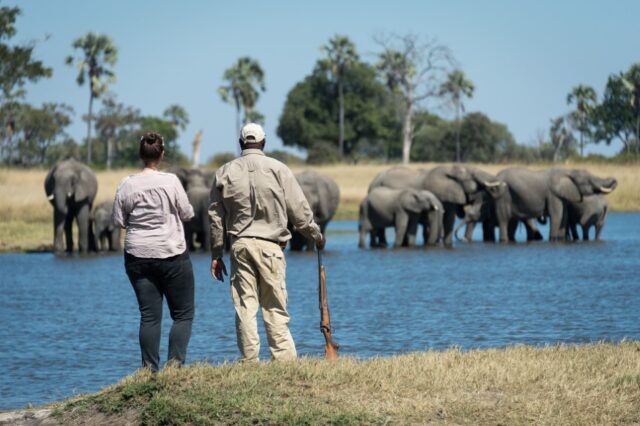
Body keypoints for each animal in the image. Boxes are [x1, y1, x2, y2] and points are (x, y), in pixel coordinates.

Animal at [370, 166, 504, 246]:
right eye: (472, 176)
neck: (452, 171)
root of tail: (375, 179)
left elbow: (449, 219)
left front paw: (447, 244)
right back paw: (383, 244)